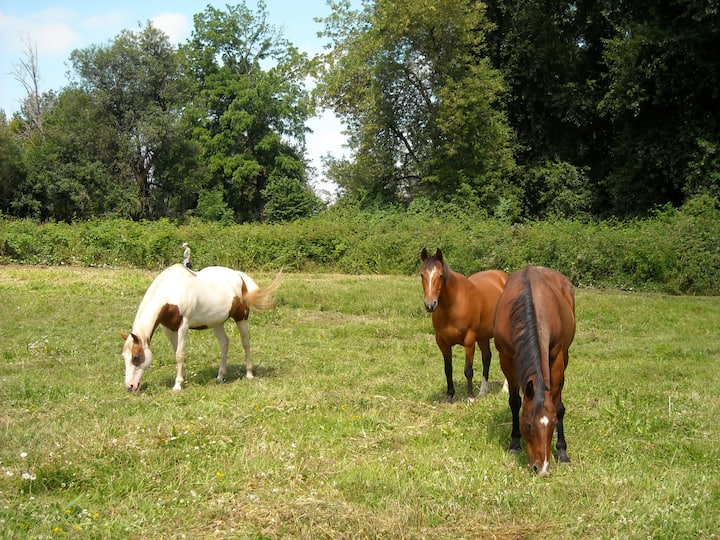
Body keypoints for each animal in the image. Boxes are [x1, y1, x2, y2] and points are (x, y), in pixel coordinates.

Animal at [120, 264, 281, 392]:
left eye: (136, 357)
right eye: (124, 357)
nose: (130, 386)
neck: (172, 290)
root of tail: (239, 276)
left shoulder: (183, 326)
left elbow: (180, 354)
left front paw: (177, 385)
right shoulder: (169, 329)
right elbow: (176, 351)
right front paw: (182, 377)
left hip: (241, 318)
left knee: (246, 342)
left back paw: (249, 373)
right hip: (217, 323)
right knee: (224, 343)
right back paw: (220, 376)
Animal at [420, 248, 509, 402]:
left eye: (441, 275)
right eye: (422, 275)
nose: (430, 305)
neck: (453, 305)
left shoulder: (469, 340)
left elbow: (468, 370)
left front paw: (470, 398)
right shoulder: (442, 342)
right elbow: (448, 369)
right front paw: (449, 396)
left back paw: (505, 389)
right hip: (483, 337)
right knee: (487, 358)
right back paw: (483, 391)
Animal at [493, 265, 575, 475]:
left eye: (553, 424)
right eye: (528, 423)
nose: (542, 468)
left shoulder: (556, 356)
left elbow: (558, 405)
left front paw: (562, 451)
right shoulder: (506, 358)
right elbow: (515, 401)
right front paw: (515, 444)